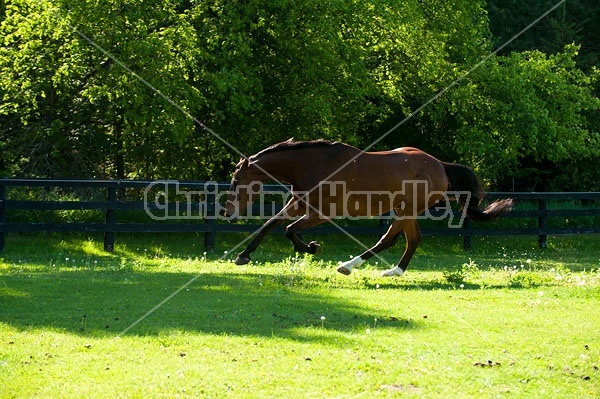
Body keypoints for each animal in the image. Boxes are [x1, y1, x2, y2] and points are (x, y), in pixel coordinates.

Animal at [223, 139, 512, 276]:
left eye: (237, 181)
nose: (227, 213)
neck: (314, 165)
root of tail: (440, 165)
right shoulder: (299, 205)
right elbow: (270, 224)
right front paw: (243, 255)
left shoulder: (323, 213)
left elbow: (290, 230)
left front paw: (312, 248)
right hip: (406, 210)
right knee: (413, 240)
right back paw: (394, 271)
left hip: (406, 210)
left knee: (388, 239)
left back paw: (349, 266)